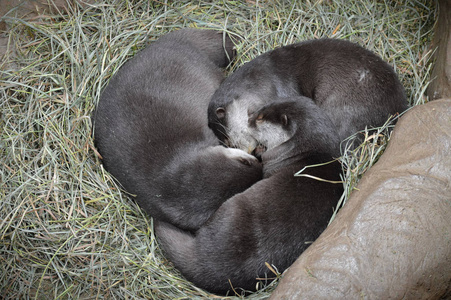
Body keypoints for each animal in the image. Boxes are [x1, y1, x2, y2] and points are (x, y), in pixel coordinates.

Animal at [155, 96, 342, 296]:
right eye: (260, 109)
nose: (247, 120)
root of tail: (210, 263)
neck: (311, 152)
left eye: (259, 118)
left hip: (231, 208)